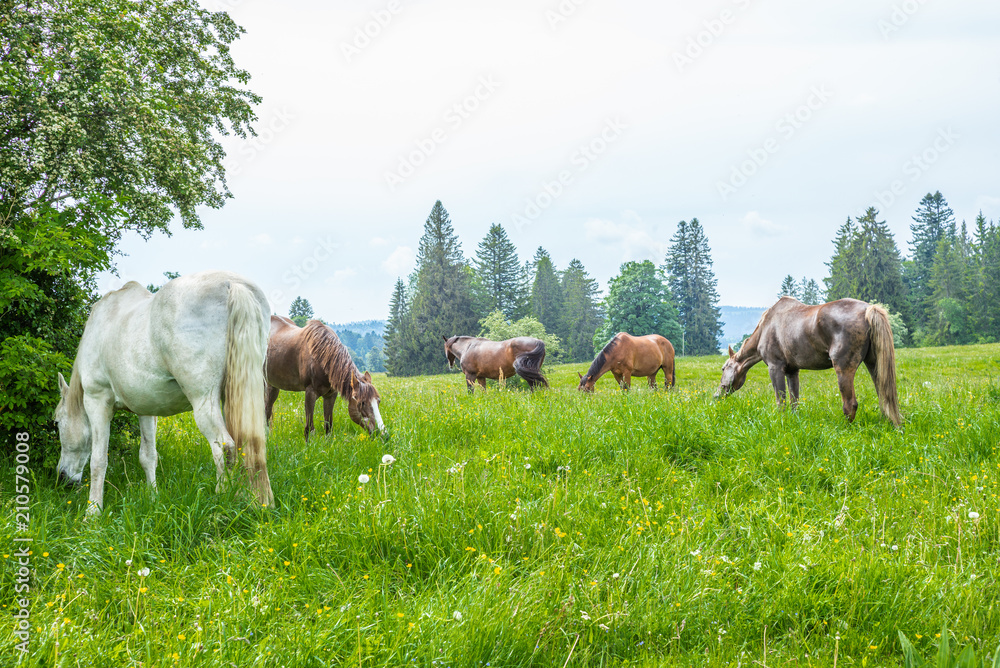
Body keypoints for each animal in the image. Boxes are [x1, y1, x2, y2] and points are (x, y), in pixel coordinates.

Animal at [54, 271, 273, 514]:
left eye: (56, 423)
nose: (62, 478)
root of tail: (231, 283)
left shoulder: (97, 402)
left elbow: (98, 461)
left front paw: (93, 511)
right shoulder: (146, 410)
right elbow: (148, 456)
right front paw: (152, 497)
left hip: (204, 401)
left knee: (224, 448)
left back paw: (223, 498)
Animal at [715, 296, 902, 425]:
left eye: (724, 368)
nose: (717, 395)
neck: (765, 328)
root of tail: (868, 309)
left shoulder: (775, 368)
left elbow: (781, 401)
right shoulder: (792, 371)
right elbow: (794, 401)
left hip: (843, 369)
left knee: (850, 404)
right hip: (873, 365)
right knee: (884, 397)